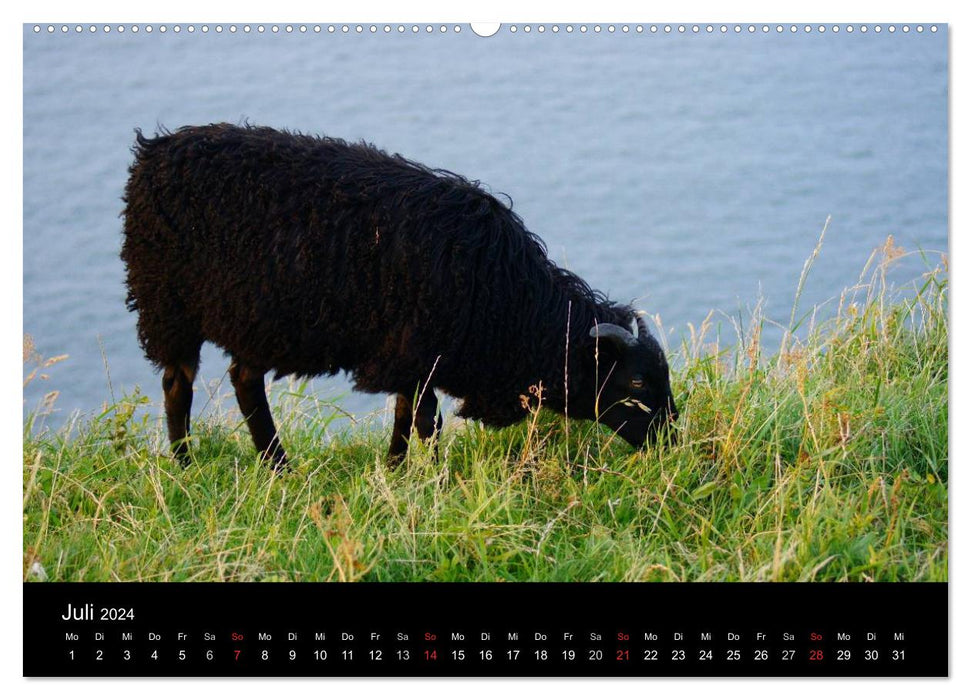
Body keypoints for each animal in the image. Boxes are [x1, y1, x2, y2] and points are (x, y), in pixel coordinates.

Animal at [121, 123, 680, 468]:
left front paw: (395, 470)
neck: (515, 305)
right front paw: (417, 474)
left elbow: (407, 415)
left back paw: (275, 467)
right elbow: (424, 420)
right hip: (170, 304)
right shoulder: (417, 351)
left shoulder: (414, 358)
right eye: (635, 382)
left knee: (243, 381)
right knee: (179, 385)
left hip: (255, 317)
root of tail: (154, 152)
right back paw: (190, 465)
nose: (672, 440)